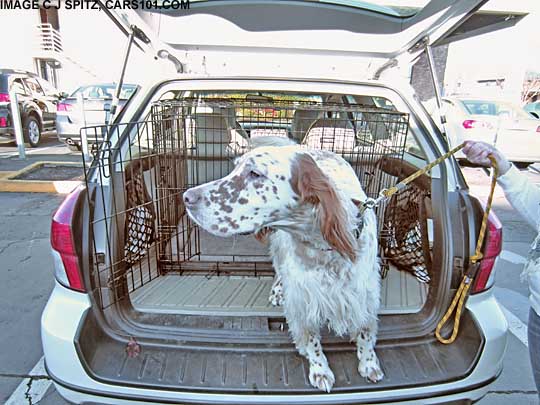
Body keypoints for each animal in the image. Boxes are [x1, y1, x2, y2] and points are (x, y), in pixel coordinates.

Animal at [184, 144, 382, 390]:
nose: (186, 197)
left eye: (254, 173)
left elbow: (365, 331)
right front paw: (320, 369)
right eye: (235, 169)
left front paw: (369, 362)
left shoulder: (364, 294)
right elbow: (311, 339)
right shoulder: (303, 299)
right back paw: (278, 291)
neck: (323, 247)